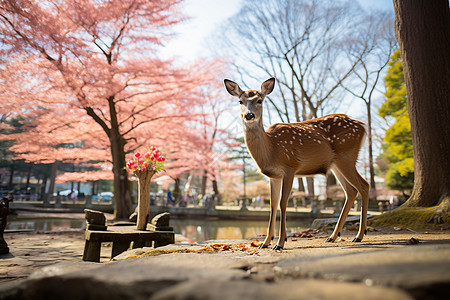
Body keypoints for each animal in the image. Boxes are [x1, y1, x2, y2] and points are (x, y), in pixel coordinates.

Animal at [224, 76, 370, 250]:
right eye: (240, 101)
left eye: (260, 100)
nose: (249, 115)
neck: (271, 149)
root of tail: (363, 126)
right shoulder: (273, 176)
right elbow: (273, 204)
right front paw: (265, 242)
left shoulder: (290, 167)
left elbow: (283, 202)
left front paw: (280, 243)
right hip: (336, 164)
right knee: (350, 191)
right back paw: (332, 237)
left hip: (347, 156)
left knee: (364, 185)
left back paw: (359, 236)